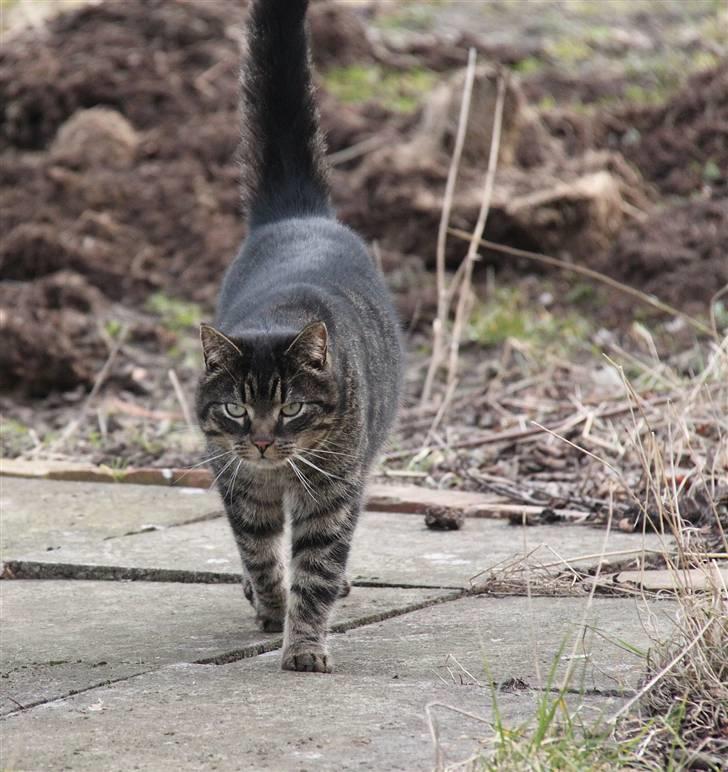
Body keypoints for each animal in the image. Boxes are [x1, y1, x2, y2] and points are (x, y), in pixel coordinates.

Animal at [195, 0, 404, 676]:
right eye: (237, 408)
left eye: (290, 408)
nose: (262, 442)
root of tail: (298, 213)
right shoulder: (239, 483)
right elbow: (261, 554)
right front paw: (270, 608)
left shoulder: (334, 492)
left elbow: (316, 567)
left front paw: (305, 644)